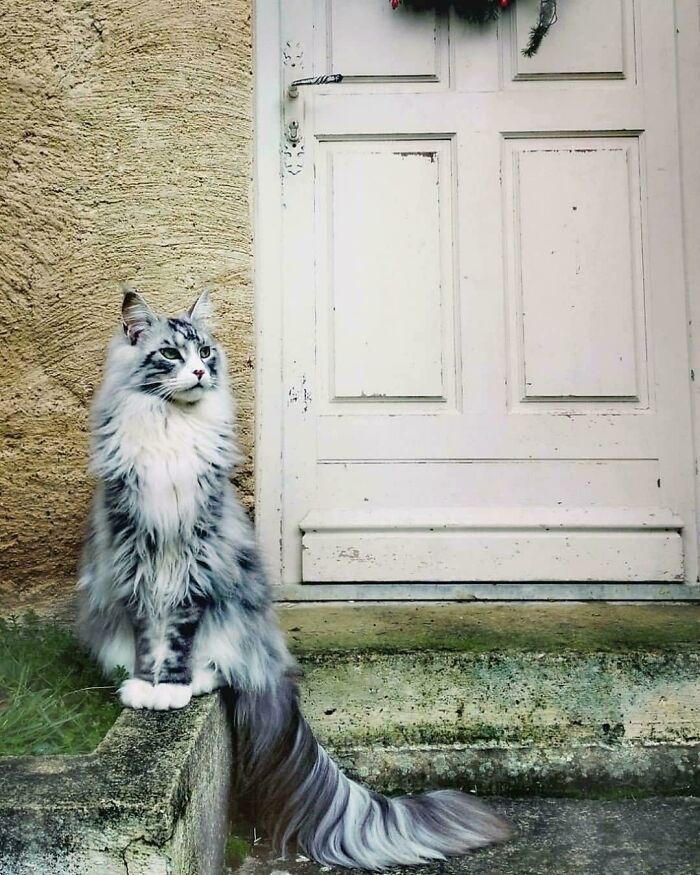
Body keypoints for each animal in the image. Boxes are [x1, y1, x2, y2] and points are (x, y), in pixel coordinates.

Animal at [78, 292, 508, 868]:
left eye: (206, 352)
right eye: (170, 353)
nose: (199, 371)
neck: (171, 428)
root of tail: (272, 662)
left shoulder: (197, 559)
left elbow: (179, 637)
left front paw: (172, 688)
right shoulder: (135, 555)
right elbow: (150, 635)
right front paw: (147, 689)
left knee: (224, 664)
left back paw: (200, 679)